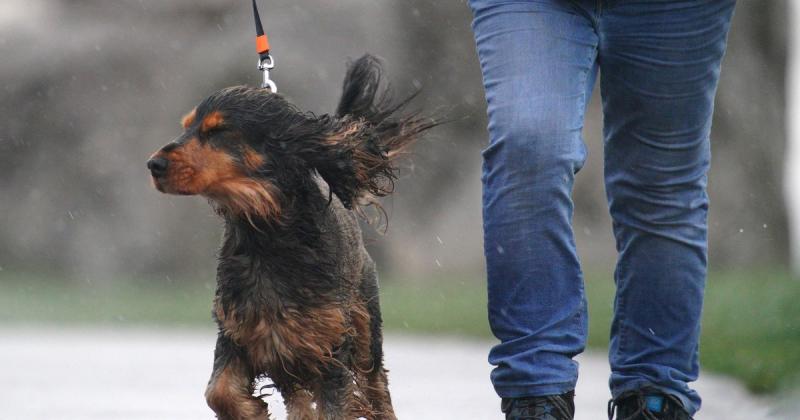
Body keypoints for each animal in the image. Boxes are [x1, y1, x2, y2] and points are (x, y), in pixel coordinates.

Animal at [148, 54, 438, 418]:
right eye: (186, 126)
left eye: (218, 131)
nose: (153, 164)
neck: (268, 235)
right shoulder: (237, 334)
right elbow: (218, 391)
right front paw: (252, 410)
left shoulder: (330, 349)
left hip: (366, 328)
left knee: (377, 387)